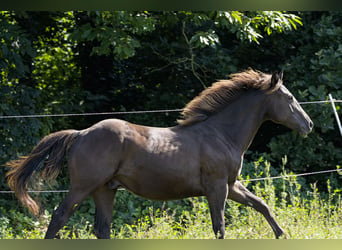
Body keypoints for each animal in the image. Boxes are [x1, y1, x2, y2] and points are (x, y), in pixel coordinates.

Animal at [6, 69, 314, 239]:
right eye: (289, 98)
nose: (309, 124)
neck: (221, 134)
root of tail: (81, 134)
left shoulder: (231, 185)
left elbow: (262, 205)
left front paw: (283, 235)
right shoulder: (217, 187)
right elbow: (220, 226)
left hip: (105, 190)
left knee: (101, 229)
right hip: (83, 186)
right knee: (59, 217)